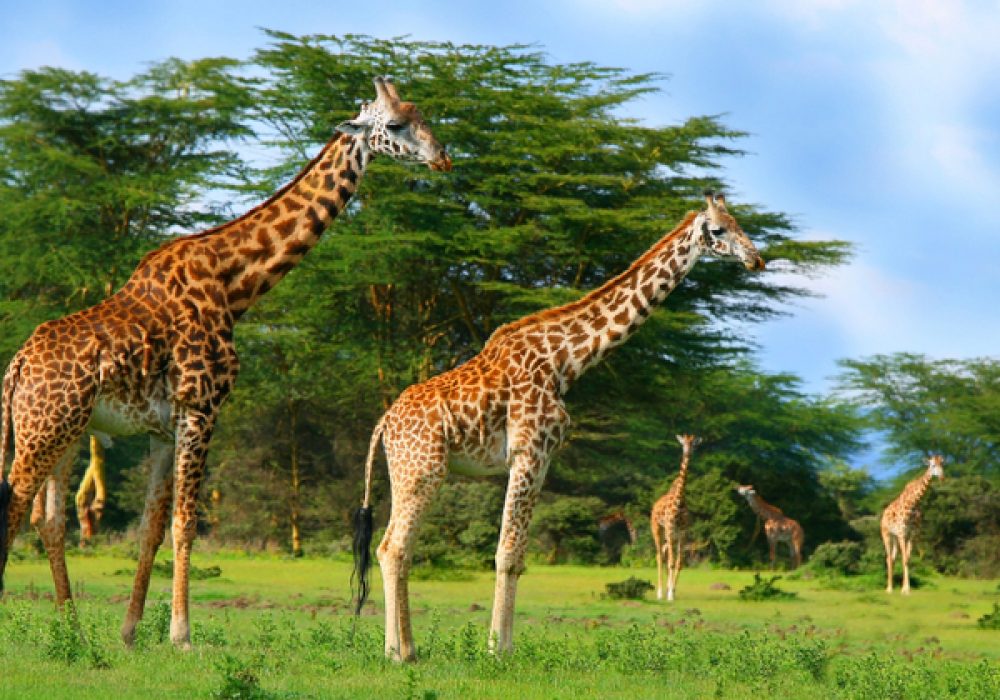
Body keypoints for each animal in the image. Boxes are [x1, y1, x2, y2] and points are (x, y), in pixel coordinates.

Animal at [0, 78, 452, 652]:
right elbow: (187, 522)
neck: (235, 283)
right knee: (15, 505)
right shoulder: (202, 408)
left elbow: (152, 526)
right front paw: (181, 634)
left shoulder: (162, 429)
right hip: (45, 427)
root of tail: (15, 366)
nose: (443, 157)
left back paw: (73, 630)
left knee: (48, 518)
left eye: (422, 114)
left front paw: (129, 631)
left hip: (63, 429)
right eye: (395, 124)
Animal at [648, 432, 704, 600]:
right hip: (658, 529)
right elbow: (671, 562)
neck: (679, 502)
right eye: (682, 444)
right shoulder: (670, 529)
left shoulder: (682, 533)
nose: (687, 453)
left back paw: (667, 589)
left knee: (665, 554)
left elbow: (679, 563)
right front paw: (669, 595)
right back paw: (660, 593)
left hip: (670, 536)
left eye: (694, 444)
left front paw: (672, 591)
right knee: (660, 556)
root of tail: (654, 505)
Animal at [884, 454, 944, 596]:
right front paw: (905, 590)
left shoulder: (911, 535)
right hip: (886, 535)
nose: (942, 477)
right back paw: (888, 589)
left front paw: (906, 589)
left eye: (942, 464)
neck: (913, 504)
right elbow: (904, 559)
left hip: (895, 537)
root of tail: (883, 513)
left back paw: (891, 587)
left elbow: (907, 559)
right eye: (932, 465)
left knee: (893, 558)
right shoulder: (902, 534)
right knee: (888, 558)